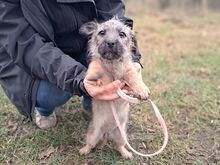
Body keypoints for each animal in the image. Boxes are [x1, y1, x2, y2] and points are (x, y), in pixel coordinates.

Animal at [78, 17, 150, 159]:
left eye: (122, 34)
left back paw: (126, 153)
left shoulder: (128, 70)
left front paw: (141, 89)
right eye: (102, 32)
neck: (112, 65)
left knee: (119, 145)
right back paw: (84, 150)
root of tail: (107, 132)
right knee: (90, 144)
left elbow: (133, 77)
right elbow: (95, 67)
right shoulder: (98, 67)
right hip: (93, 134)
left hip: (121, 135)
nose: (110, 43)